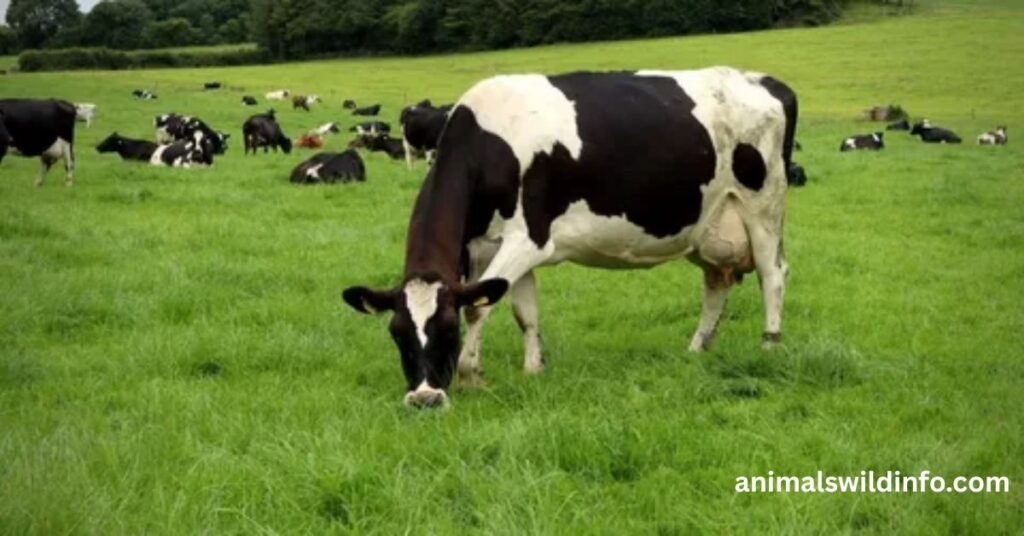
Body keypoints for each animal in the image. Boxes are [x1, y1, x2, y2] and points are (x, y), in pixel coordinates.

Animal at [341, 67, 798, 408]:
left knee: (772, 274)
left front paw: (471, 376)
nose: (424, 398)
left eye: (447, 330)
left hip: (763, 206)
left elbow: (478, 308)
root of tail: (765, 81)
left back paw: (770, 345)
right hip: (709, 225)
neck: (486, 143)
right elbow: (523, 312)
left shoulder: (527, 239)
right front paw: (533, 369)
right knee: (717, 284)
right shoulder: (493, 247)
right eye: (396, 332)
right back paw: (697, 347)